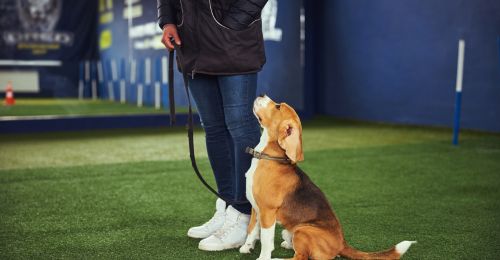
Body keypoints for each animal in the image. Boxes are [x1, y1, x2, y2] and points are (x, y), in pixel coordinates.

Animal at [240, 94, 416, 258]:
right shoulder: (256, 208)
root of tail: (342, 243)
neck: (268, 156)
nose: (261, 94)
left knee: (300, 257)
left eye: (277, 107)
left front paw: (263, 257)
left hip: (302, 230)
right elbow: (251, 229)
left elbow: (266, 240)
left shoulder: (267, 212)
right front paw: (247, 247)